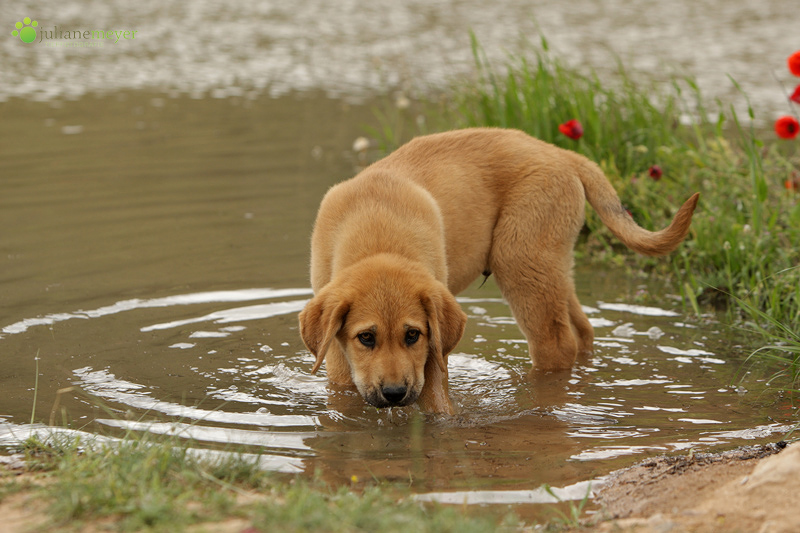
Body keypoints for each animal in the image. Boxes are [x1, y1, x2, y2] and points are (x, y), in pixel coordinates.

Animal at [296, 127, 696, 414]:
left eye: (412, 335)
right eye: (366, 338)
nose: (395, 393)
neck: (379, 235)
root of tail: (561, 153)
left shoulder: (433, 348)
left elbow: (437, 403)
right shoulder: (337, 352)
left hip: (521, 261)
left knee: (556, 346)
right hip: (551, 266)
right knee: (582, 330)